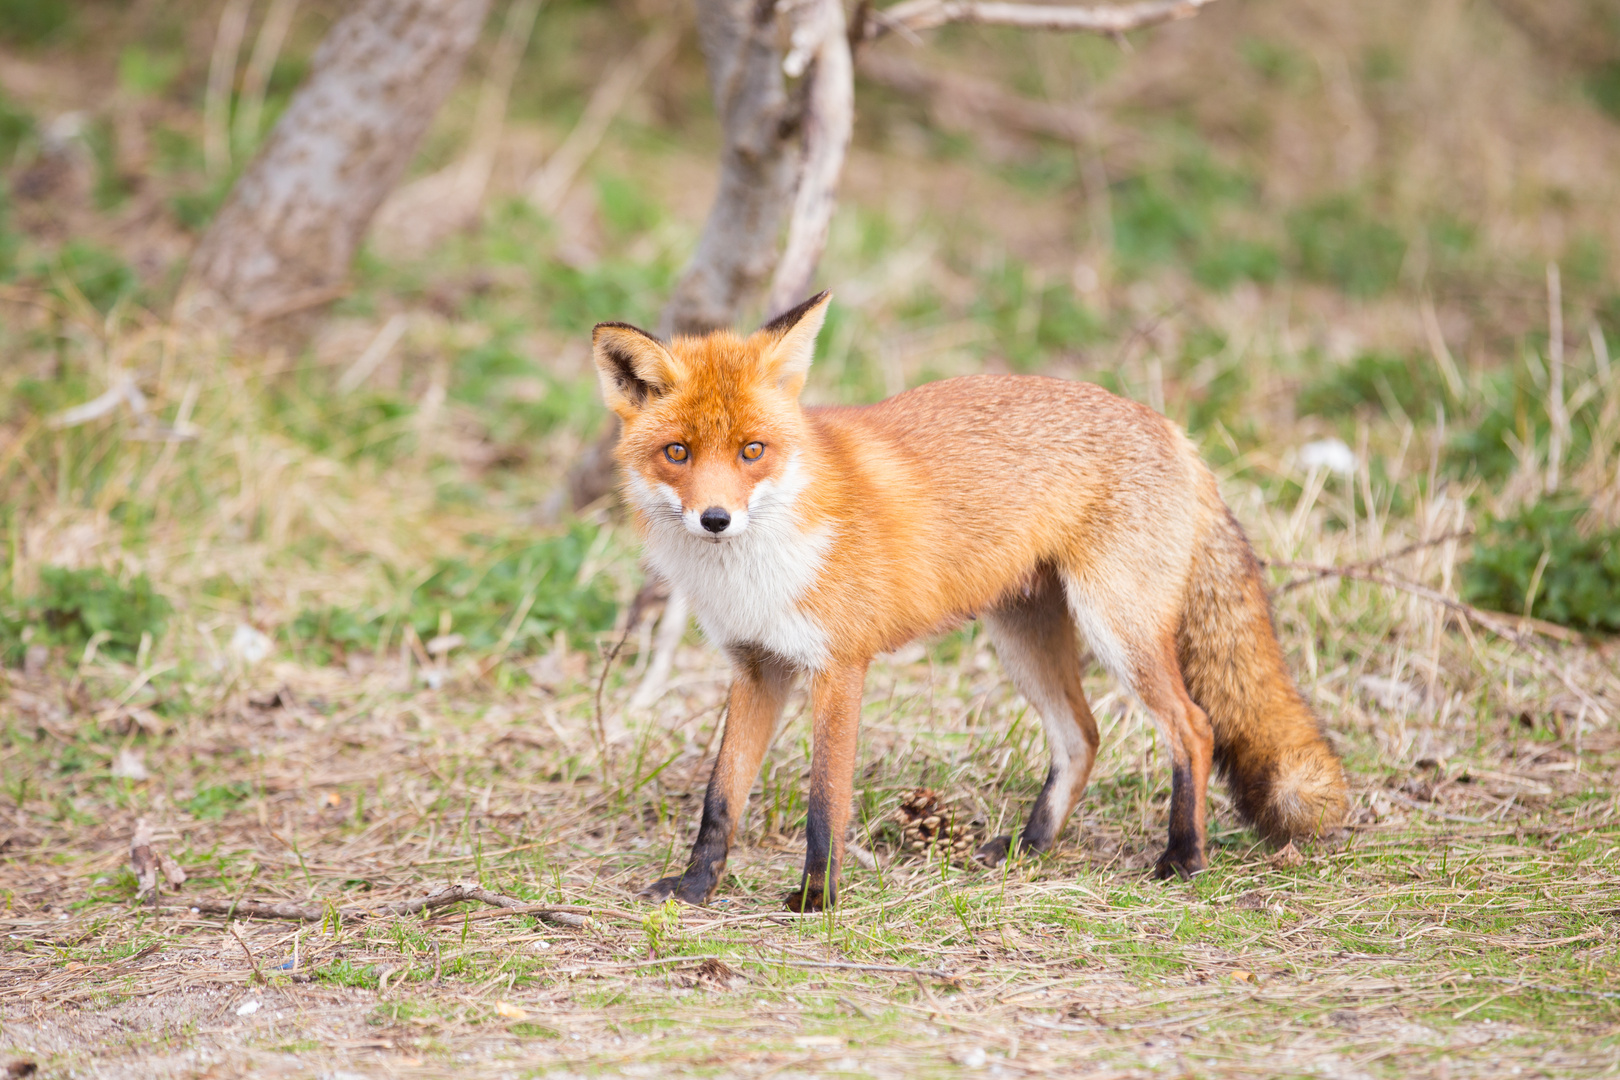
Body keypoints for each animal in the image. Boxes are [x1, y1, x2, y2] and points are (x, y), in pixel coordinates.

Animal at [589, 291, 1347, 906]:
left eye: (752, 450)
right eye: (678, 453)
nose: (715, 519)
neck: (755, 570)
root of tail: (1171, 428)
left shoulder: (840, 668)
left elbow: (825, 803)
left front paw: (817, 898)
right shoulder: (758, 668)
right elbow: (720, 799)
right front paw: (696, 886)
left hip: (1116, 629)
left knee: (1193, 726)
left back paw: (1183, 858)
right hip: (1021, 637)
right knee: (1082, 737)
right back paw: (1028, 848)